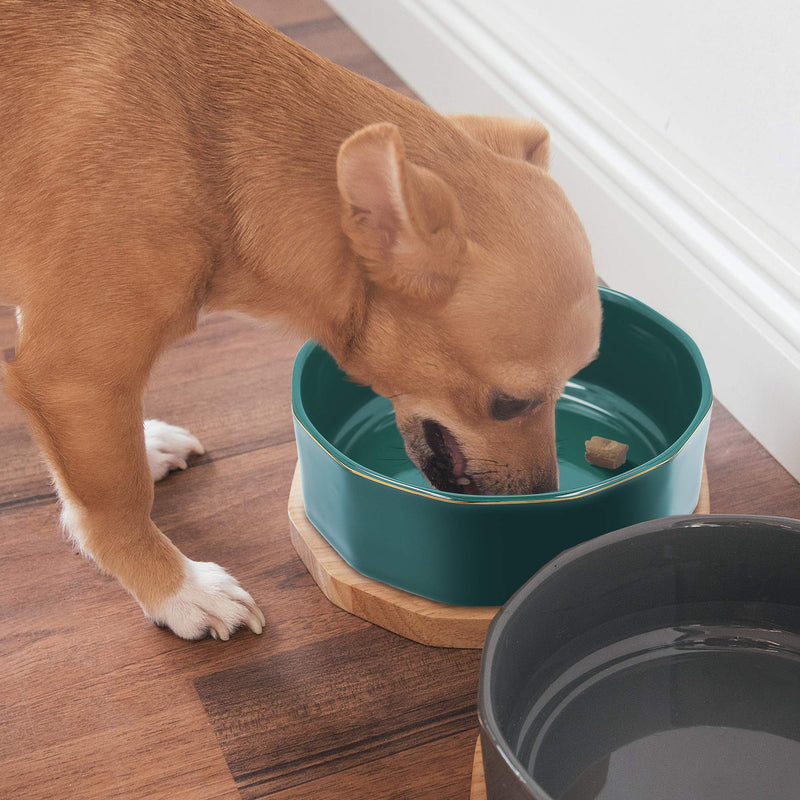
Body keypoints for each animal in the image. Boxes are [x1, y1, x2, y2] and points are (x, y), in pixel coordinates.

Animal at [0, 0, 600, 636]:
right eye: (509, 403)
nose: (545, 496)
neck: (212, 155)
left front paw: (139, 448)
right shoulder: (74, 377)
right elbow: (117, 504)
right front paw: (176, 589)